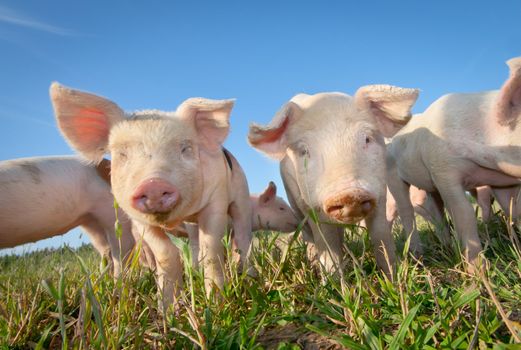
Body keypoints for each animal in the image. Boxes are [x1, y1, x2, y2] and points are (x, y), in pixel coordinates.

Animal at [50, 82, 252, 306]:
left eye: (185, 148)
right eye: (122, 154)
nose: (153, 184)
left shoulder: (216, 198)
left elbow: (212, 250)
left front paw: (216, 302)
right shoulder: (138, 220)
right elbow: (165, 253)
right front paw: (167, 307)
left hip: (242, 194)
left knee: (243, 233)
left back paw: (249, 275)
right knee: (194, 243)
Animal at [247, 84, 418, 276]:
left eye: (367, 139)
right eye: (304, 151)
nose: (349, 194)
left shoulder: (380, 192)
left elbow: (381, 235)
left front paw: (392, 276)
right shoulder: (311, 206)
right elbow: (327, 243)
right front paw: (334, 280)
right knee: (309, 236)